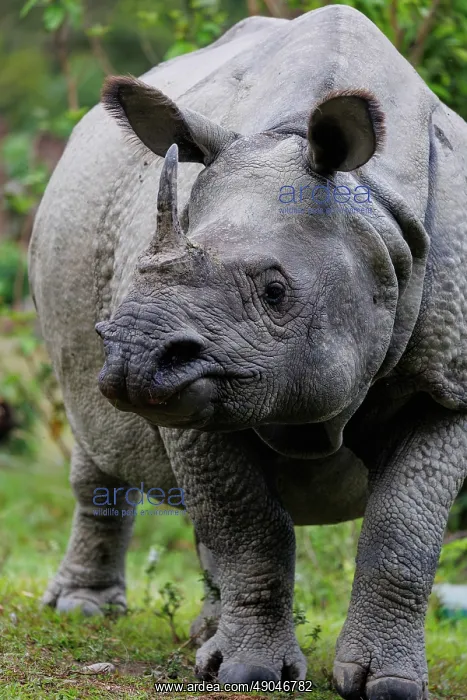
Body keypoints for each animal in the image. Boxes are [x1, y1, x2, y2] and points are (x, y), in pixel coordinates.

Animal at [28, 4, 467, 699]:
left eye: (275, 291)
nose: (135, 358)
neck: (373, 207)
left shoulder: (448, 386)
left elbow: (405, 530)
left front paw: (388, 685)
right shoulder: (194, 394)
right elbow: (246, 521)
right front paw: (249, 673)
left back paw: (202, 638)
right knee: (98, 444)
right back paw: (87, 613)